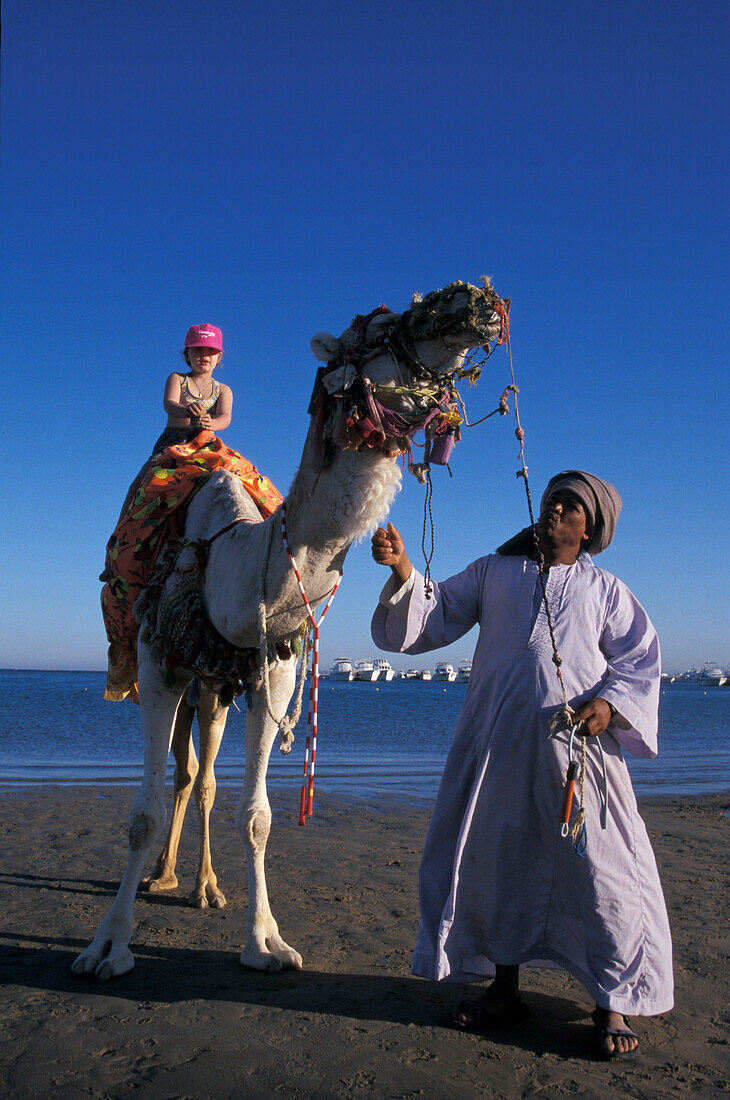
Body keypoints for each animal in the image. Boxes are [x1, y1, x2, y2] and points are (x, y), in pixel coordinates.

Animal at [72, 279, 507, 976]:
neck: (234, 557)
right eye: (381, 325)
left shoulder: (270, 669)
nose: (475, 301)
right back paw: (163, 878)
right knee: (182, 775)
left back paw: (200, 886)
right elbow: (140, 814)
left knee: (201, 780)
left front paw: (266, 942)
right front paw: (108, 944)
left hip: (215, 689)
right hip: (173, 674)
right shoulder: (155, 662)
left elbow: (257, 817)